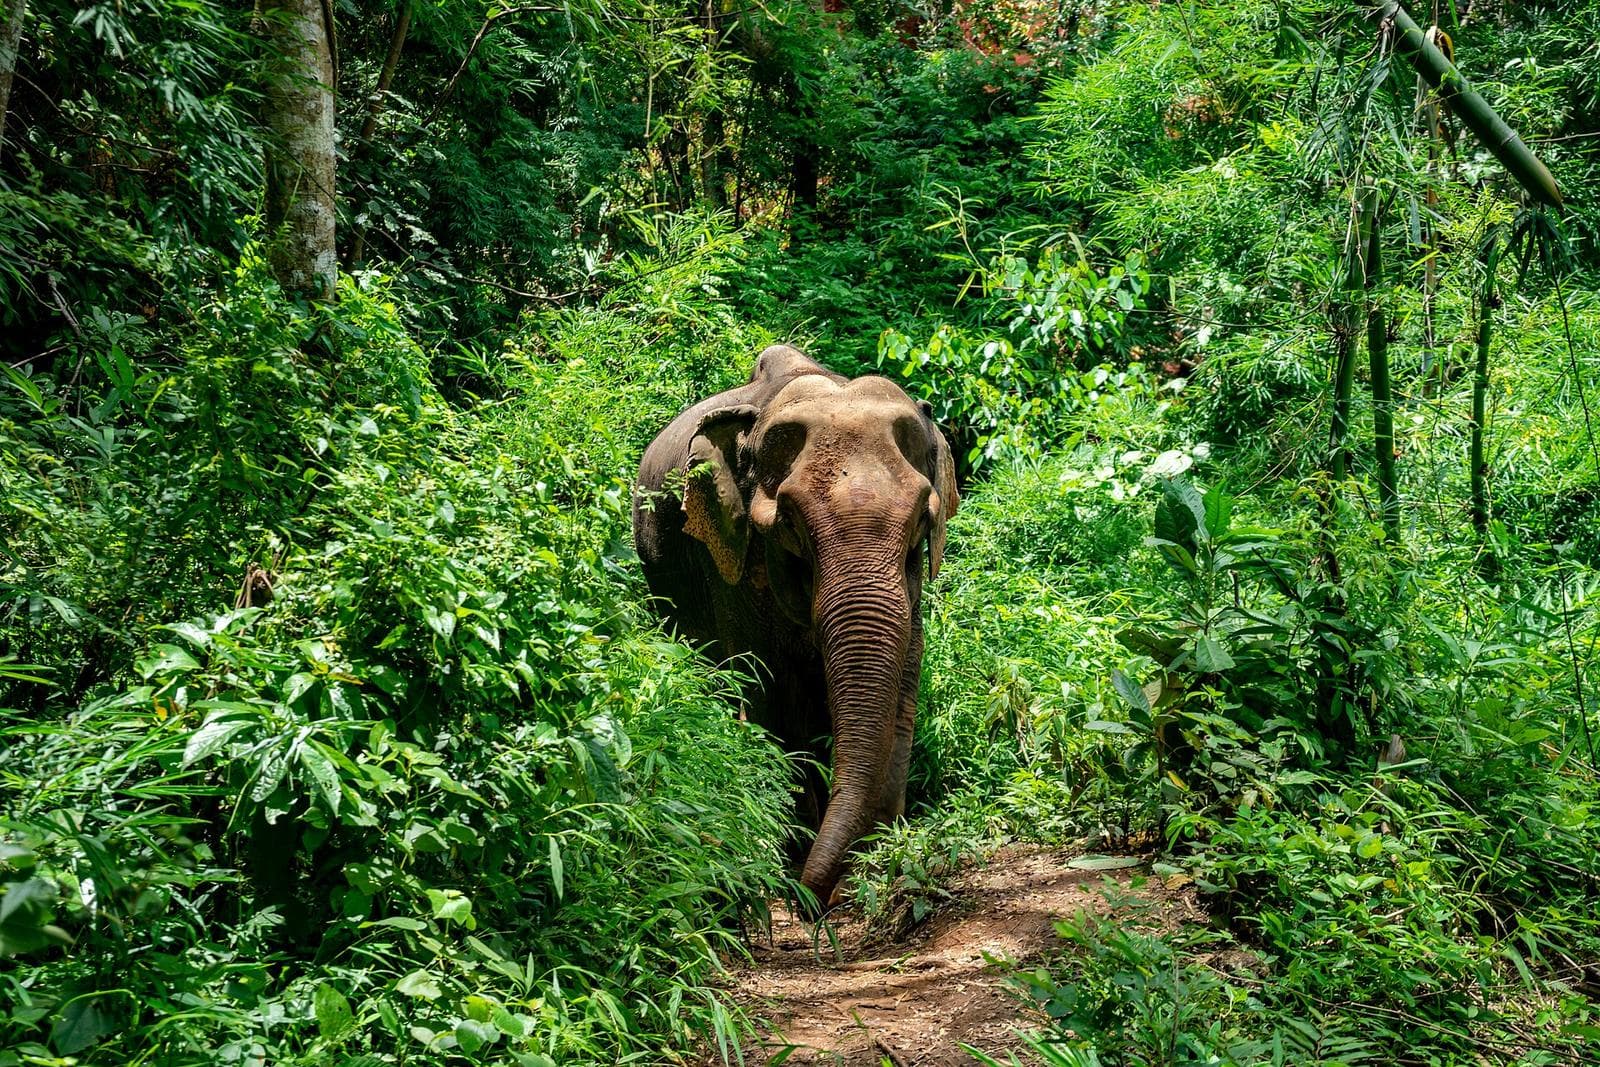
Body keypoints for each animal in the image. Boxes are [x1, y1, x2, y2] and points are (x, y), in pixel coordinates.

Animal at [633, 344, 959, 905]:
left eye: (922, 519)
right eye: (789, 525)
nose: (815, 906)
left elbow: (903, 686)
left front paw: (879, 855)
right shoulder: (733, 560)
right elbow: (777, 693)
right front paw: (799, 863)